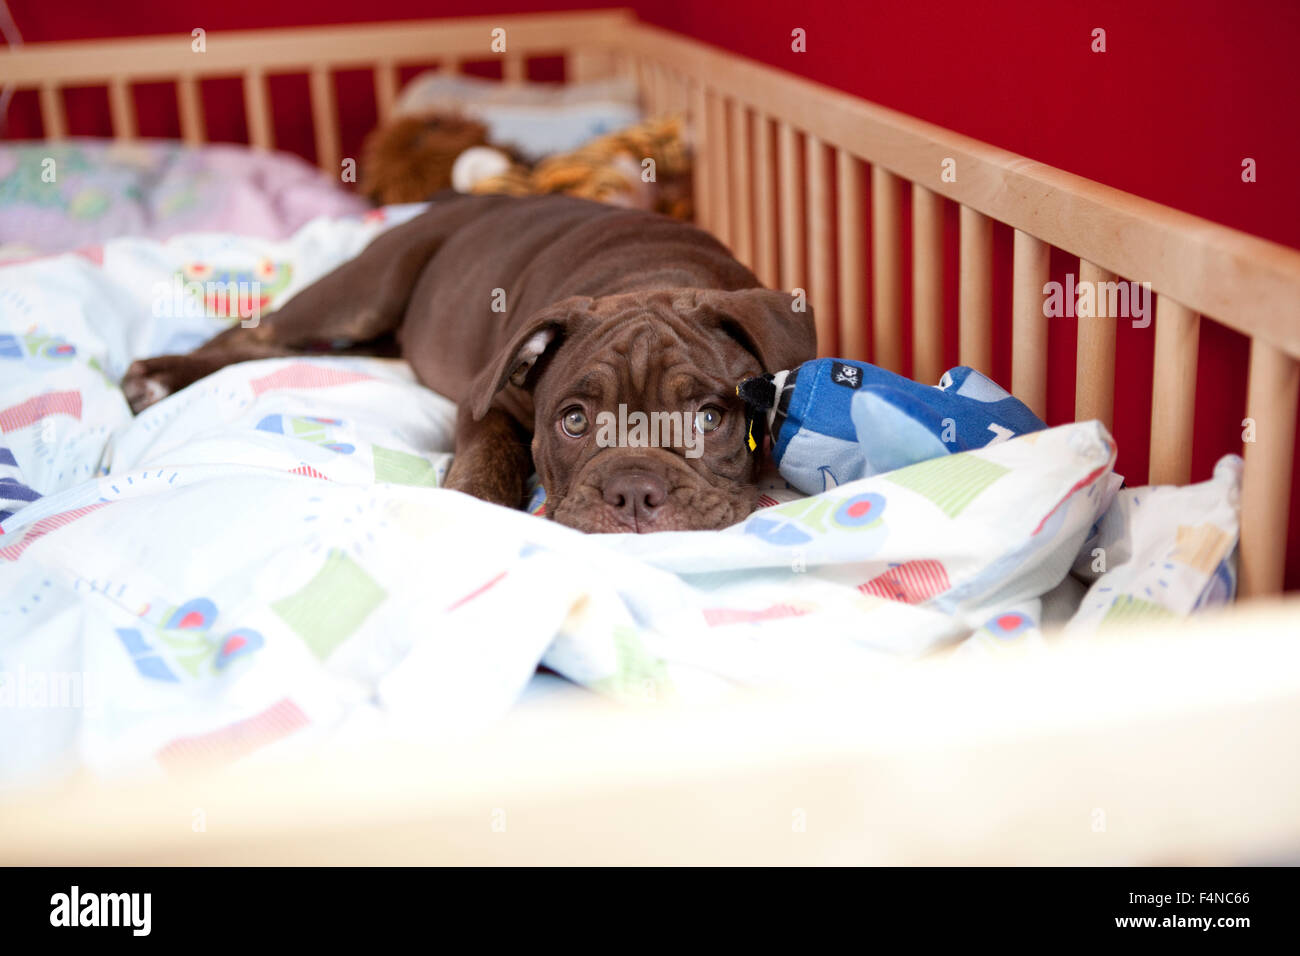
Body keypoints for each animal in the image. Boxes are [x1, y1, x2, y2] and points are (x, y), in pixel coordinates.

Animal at [122, 195, 811, 535]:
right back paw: (157, 376)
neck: (653, 278)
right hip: (366, 288)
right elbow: (490, 457)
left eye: (710, 419)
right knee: (254, 336)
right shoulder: (488, 402)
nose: (635, 492)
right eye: (573, 422)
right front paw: (473, 506)